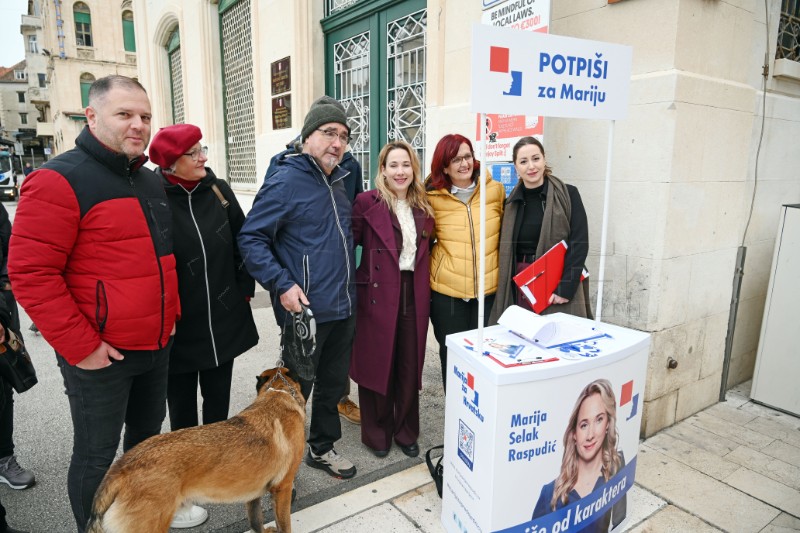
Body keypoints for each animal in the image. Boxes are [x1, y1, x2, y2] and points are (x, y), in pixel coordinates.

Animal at [86, 368, 306, 532]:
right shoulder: (283, 489)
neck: (277, 394)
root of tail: (121, 468)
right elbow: (284, 525)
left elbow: (256, 522)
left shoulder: (253, 494)